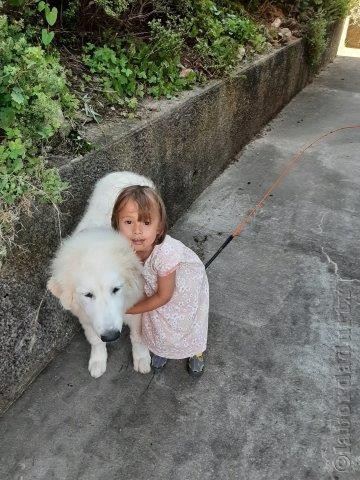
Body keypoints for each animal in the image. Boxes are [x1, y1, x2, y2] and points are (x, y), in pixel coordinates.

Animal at [47, 172, 154, 378]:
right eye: (88, 295)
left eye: (116, 289)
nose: (111, 336)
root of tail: (124, 172)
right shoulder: (86, 317)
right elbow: (95, 341)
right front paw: (97, 361)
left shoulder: (138, 306)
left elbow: (138, 336)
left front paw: (141, 358)